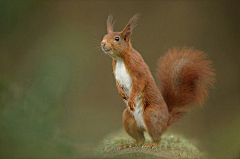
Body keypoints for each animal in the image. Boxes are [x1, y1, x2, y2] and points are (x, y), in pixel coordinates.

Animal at [100, 14, 215, 148]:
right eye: (104, 37)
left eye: (117, 38)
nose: (103, 44)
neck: (119, 59)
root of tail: (166, 121)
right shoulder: (117, 74)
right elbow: (118, 83)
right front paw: (121, 92)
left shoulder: (138, 69)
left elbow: (139, 83)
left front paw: (131, 99)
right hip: (127, 118)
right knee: (140, 138)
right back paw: (130, 144)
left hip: (151, 115)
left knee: (157, 137)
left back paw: (153, 144)